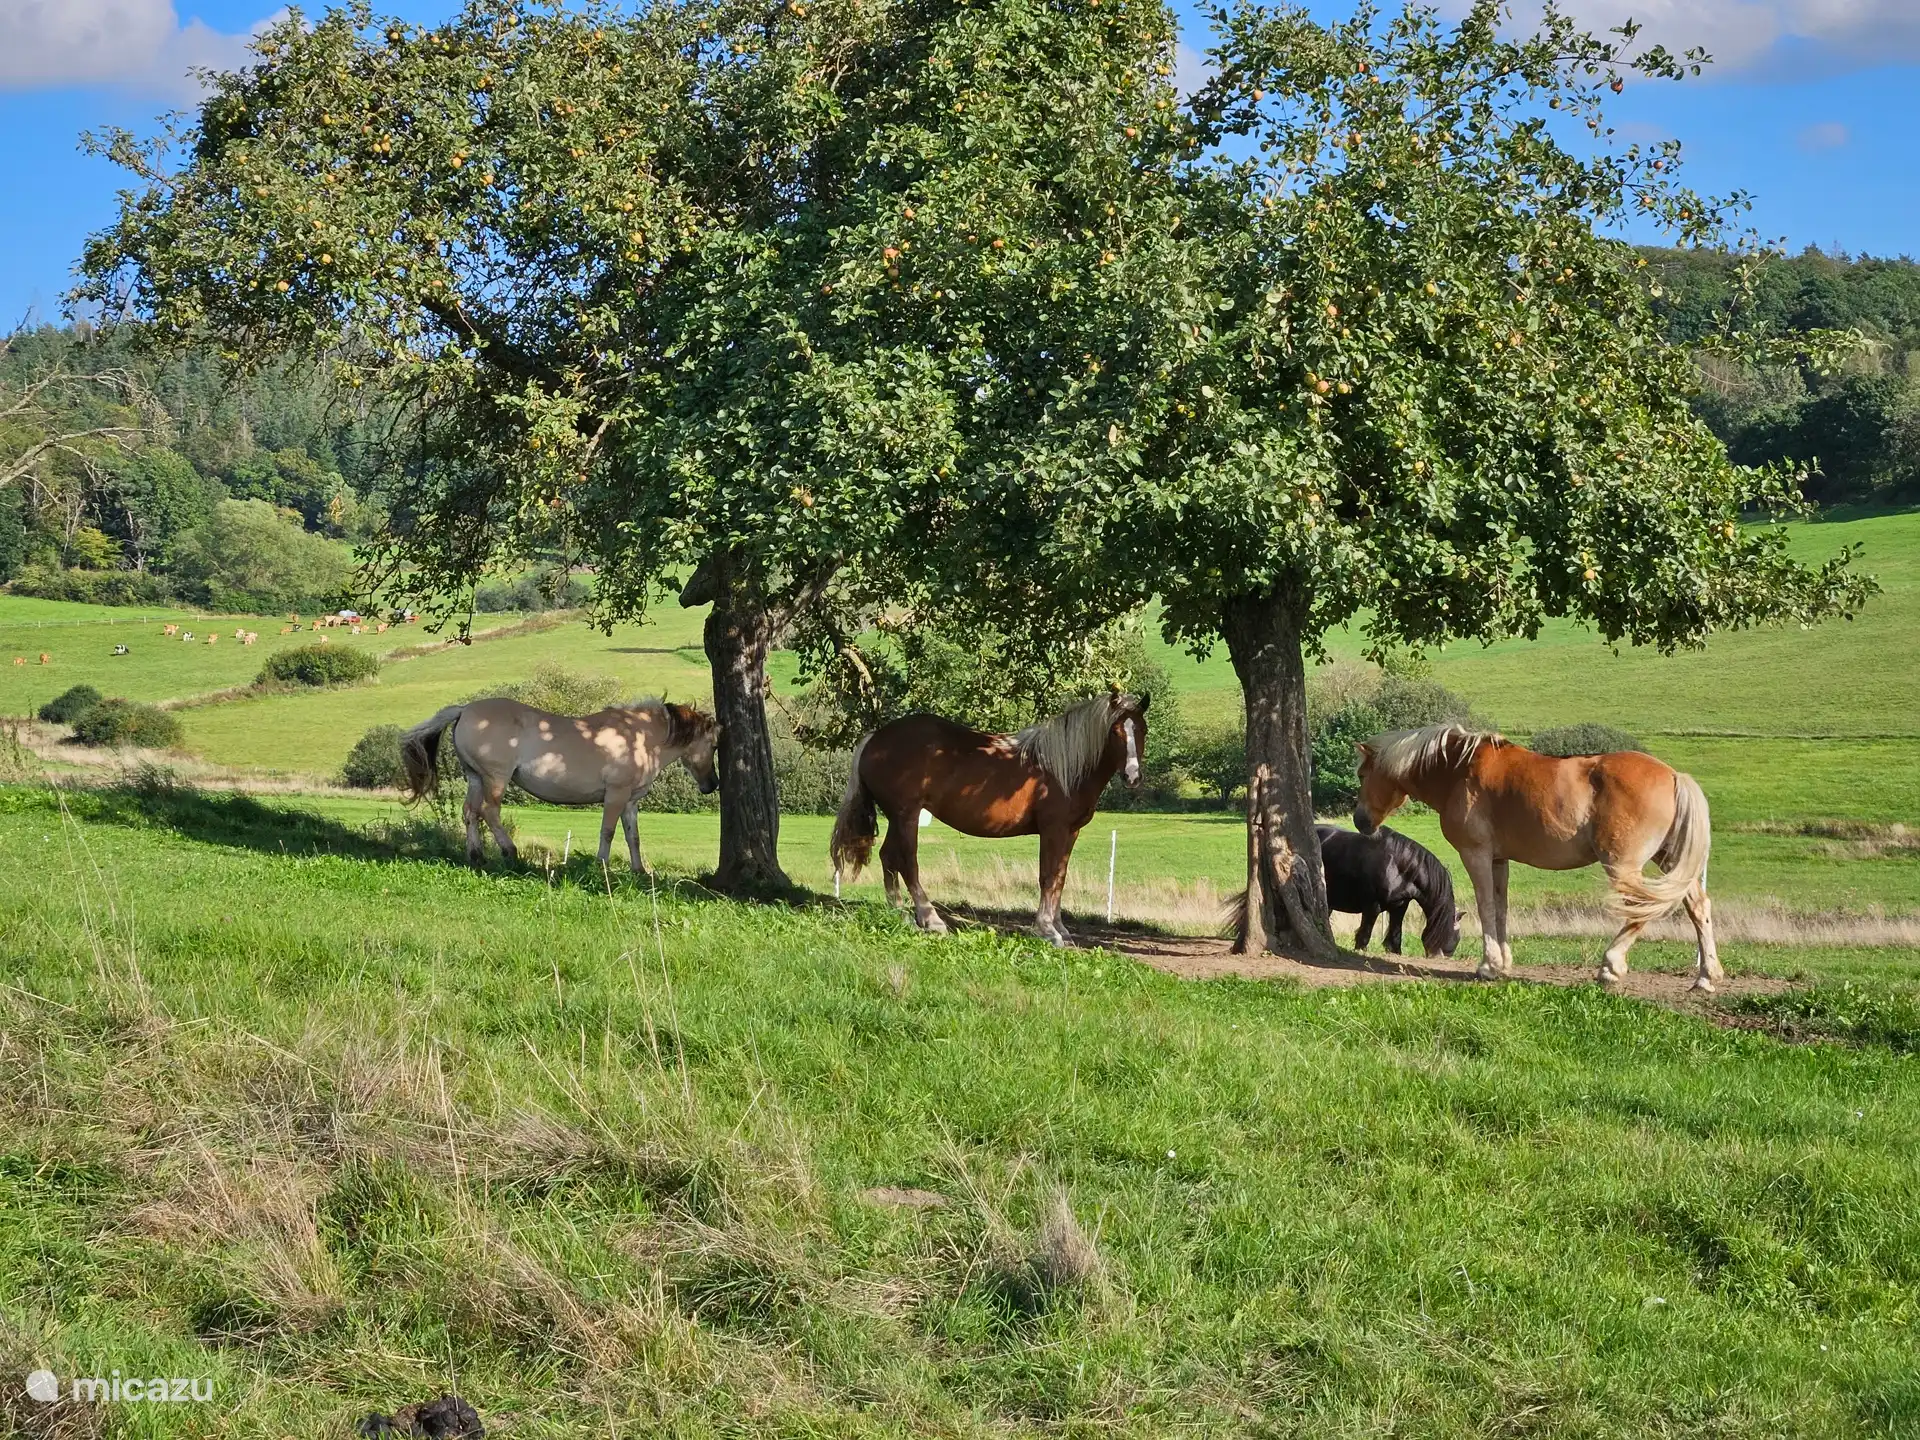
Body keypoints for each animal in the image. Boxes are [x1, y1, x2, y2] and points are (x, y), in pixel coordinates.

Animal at [400, 696, 720, 871]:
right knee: (489, 811)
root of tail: (465, 710)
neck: (638, 736)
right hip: (495, 778)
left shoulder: (631, 801)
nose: (712, 785)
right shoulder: (615, 795)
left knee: (470, 813)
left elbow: (633, 837)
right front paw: (601, 865)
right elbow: (607, 832)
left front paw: (639, 870)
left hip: (475, 777)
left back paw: (476, 856)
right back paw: (509, 852)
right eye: (716, 745)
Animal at [830, 690, 1150, 945]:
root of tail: (876, 738)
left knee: (888, 857)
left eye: (1142, 731)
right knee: (908, 862)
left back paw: (899, 912)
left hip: (897, 818)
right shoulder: (1053, 829)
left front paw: (1060, 929)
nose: (1132, 777)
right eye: (1116, 732)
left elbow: (1060, 877)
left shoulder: (1071, 832)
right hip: (906, 816)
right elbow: (1047, 877)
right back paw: (930, 919)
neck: (1062, 768)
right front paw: (1047, 931)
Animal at [1317, 824, 1463, 958]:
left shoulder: (1399, 907)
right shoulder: (1372, 907)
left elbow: (1395, 934)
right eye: (1457, 936)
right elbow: (1364, 934)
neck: (1397, 866)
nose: (1441, 957)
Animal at [1353, 724, 1720, 990]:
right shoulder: (1499, 860)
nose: (1360, 821)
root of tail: (1674, 776)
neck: (1459, 771)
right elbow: (1500, 908)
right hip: (1670, 862)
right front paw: (1503, 963)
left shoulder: (1476, 855)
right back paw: (1706, 977)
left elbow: (1486, 907)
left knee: (1640, 909)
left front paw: (1488, 966)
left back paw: (1610, 968)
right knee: (1698, 906)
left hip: (1623, 866)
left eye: (1361, 775)